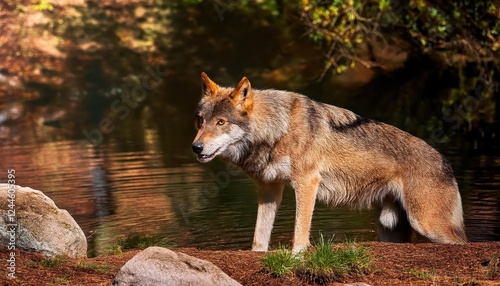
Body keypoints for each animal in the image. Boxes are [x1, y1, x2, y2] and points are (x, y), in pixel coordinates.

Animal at [192, 72, 468, 252]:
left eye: (221, 122)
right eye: (201, 121)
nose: (196, 147)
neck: (278, 129)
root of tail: (445, 161)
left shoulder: (307, 183)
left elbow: (300, 229)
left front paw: (297, 256)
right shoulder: (270, 189)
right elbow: (259, 238)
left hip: (428, 225)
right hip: (389, 230)